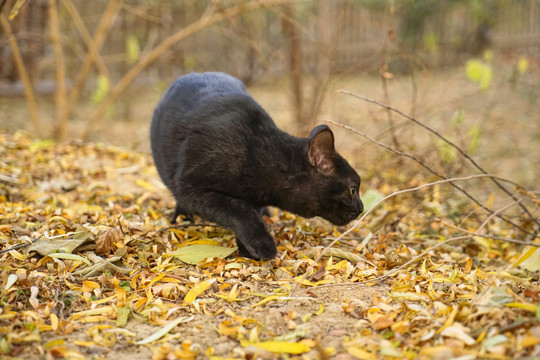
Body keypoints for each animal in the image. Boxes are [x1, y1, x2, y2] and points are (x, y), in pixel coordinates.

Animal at [150, 72, 364, 258]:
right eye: (353, 189)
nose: (361, 208)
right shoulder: (192, 189)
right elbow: (239, 210)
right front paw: (263, 246)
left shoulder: (254, 200)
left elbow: (250, 213)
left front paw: (247, 251)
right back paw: (181, 219)